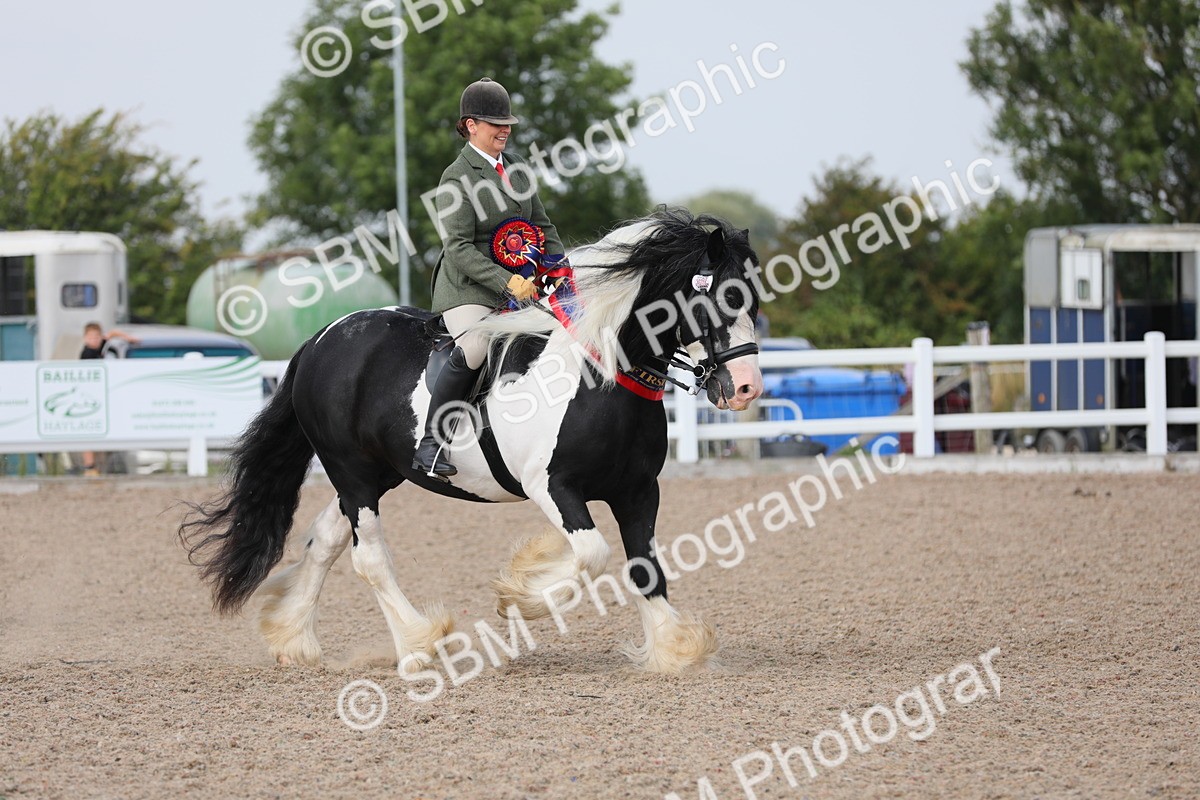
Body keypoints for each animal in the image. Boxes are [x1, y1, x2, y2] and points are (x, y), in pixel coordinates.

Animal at [179, 207, 764, 675]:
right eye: (714, 297)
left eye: (753, 299)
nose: (745, 388)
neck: (598, 377)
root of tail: (320, 339)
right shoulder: (553, 488)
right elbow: (592, 554)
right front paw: (521, 593)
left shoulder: (639, 490)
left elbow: (644, 566)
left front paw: (674, 649)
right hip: (351, 470)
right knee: (369, 559)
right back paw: (419, 646)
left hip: (377, 474)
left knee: (325, 538)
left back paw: (293, 639)